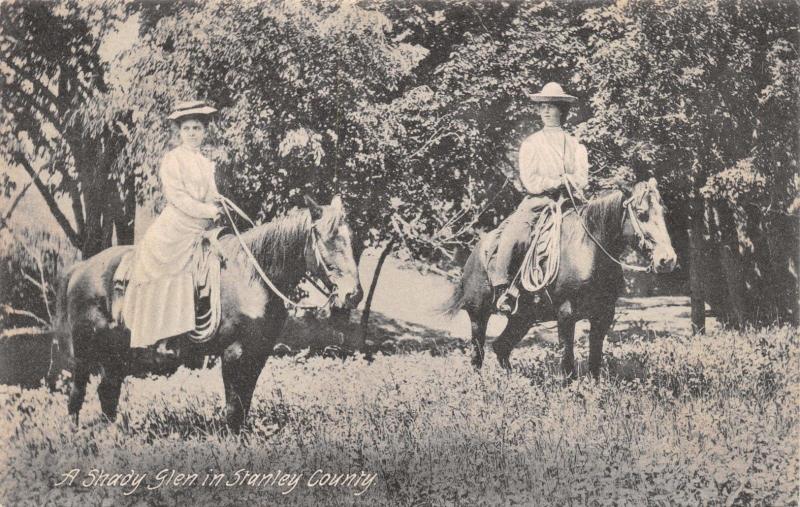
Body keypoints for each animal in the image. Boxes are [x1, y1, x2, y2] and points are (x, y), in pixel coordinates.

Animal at [48, 195, 360, 432]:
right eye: (327, 238)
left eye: (350, 238)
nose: (353, 294)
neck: (251, 276)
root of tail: (81, 268)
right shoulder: (233, 352)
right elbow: (234, 408)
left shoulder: (256, 353)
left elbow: (244, 404)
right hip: (84, 354)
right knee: (76, 397)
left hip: (115, 357)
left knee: (107, 395)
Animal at [444, 179, 676, 378]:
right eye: (641, 213)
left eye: (664, 212)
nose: (668, 260)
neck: (588, 250)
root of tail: (476, 253)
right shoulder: (566, 314)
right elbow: (567, 363)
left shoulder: (603, 315)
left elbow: (594, 362)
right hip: (478, 315)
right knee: (477, 355)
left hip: (523, 318)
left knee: (501, 347)